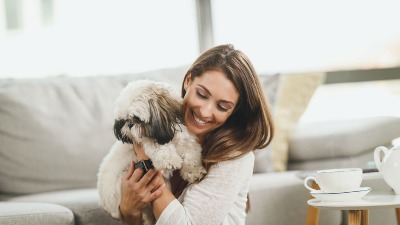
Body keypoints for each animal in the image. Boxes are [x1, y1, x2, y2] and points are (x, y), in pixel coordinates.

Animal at [97, 79, 206, 223]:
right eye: (124, 120)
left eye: (136, 118)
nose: (129, 125)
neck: (170, 136)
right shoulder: (146, 140)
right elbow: (157, 145)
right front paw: (169, 160)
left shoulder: (187, 140)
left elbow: (191, 155)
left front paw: (194, 172)